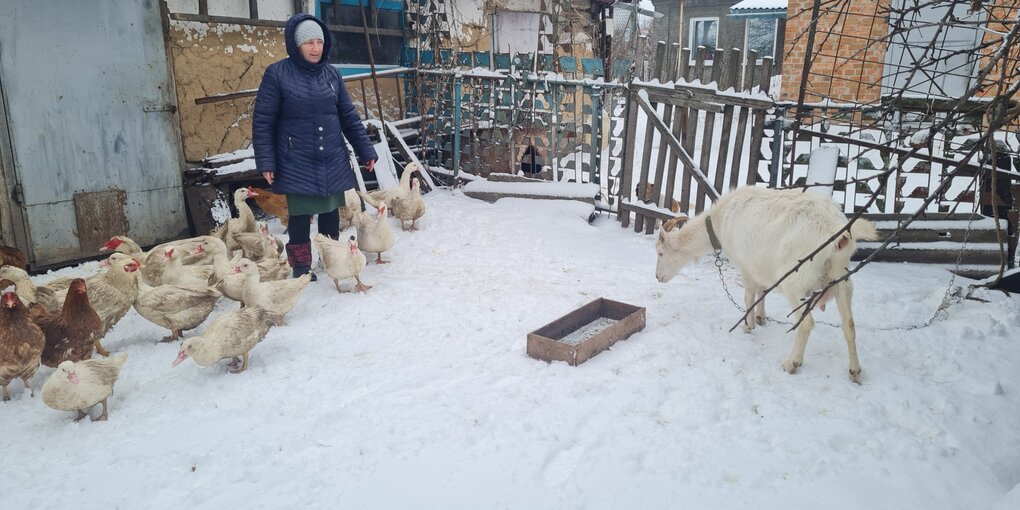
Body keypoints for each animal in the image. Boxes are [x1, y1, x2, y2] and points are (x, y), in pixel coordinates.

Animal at [656, 185, 881, 381]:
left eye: (660, 253)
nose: (658, 277)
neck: (718, 223)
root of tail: (837, 230)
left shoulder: (745, 265)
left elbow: (749, 296)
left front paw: (748, 325)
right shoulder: (760, 265)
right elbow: (763, 291)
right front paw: (762, 317)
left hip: (795, 281)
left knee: (806, 323)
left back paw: (792, 363)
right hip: (841, 278)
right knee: (849, 325)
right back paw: (855, 371)